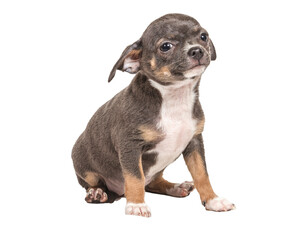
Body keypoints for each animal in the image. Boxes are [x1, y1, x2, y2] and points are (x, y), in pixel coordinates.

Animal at [71, 13, 234, 217]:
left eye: (203, 36)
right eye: (166, 46)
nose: (196, 50)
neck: (174, 97)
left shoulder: (195, 141)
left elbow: (202, 174)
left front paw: (212, 199)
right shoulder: (130, 145)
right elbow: (135, 178)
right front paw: (136, 204)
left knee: (153, 183)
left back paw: (175, 187)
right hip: (83, 164)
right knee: (95, 183)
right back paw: (97, 193)